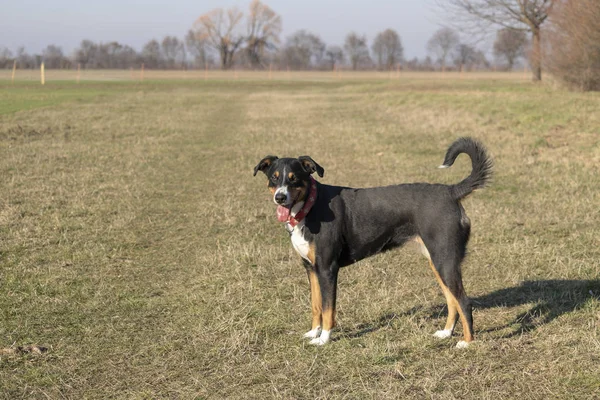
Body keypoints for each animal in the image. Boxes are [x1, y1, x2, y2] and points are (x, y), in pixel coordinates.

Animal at [253, 137, 492, 346]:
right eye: (274, 178)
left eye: (294, 178)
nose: (280, 197)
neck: (310, 206)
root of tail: (451, 192)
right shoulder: (311, 268)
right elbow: (316, 305)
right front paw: (314, 332)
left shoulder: (327, 269)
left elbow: (329, 309)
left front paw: (324, 339)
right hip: (438, 262)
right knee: (452, 301)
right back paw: (446, 332)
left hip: (445, 261)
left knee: (464, 302)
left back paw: (467, 342)